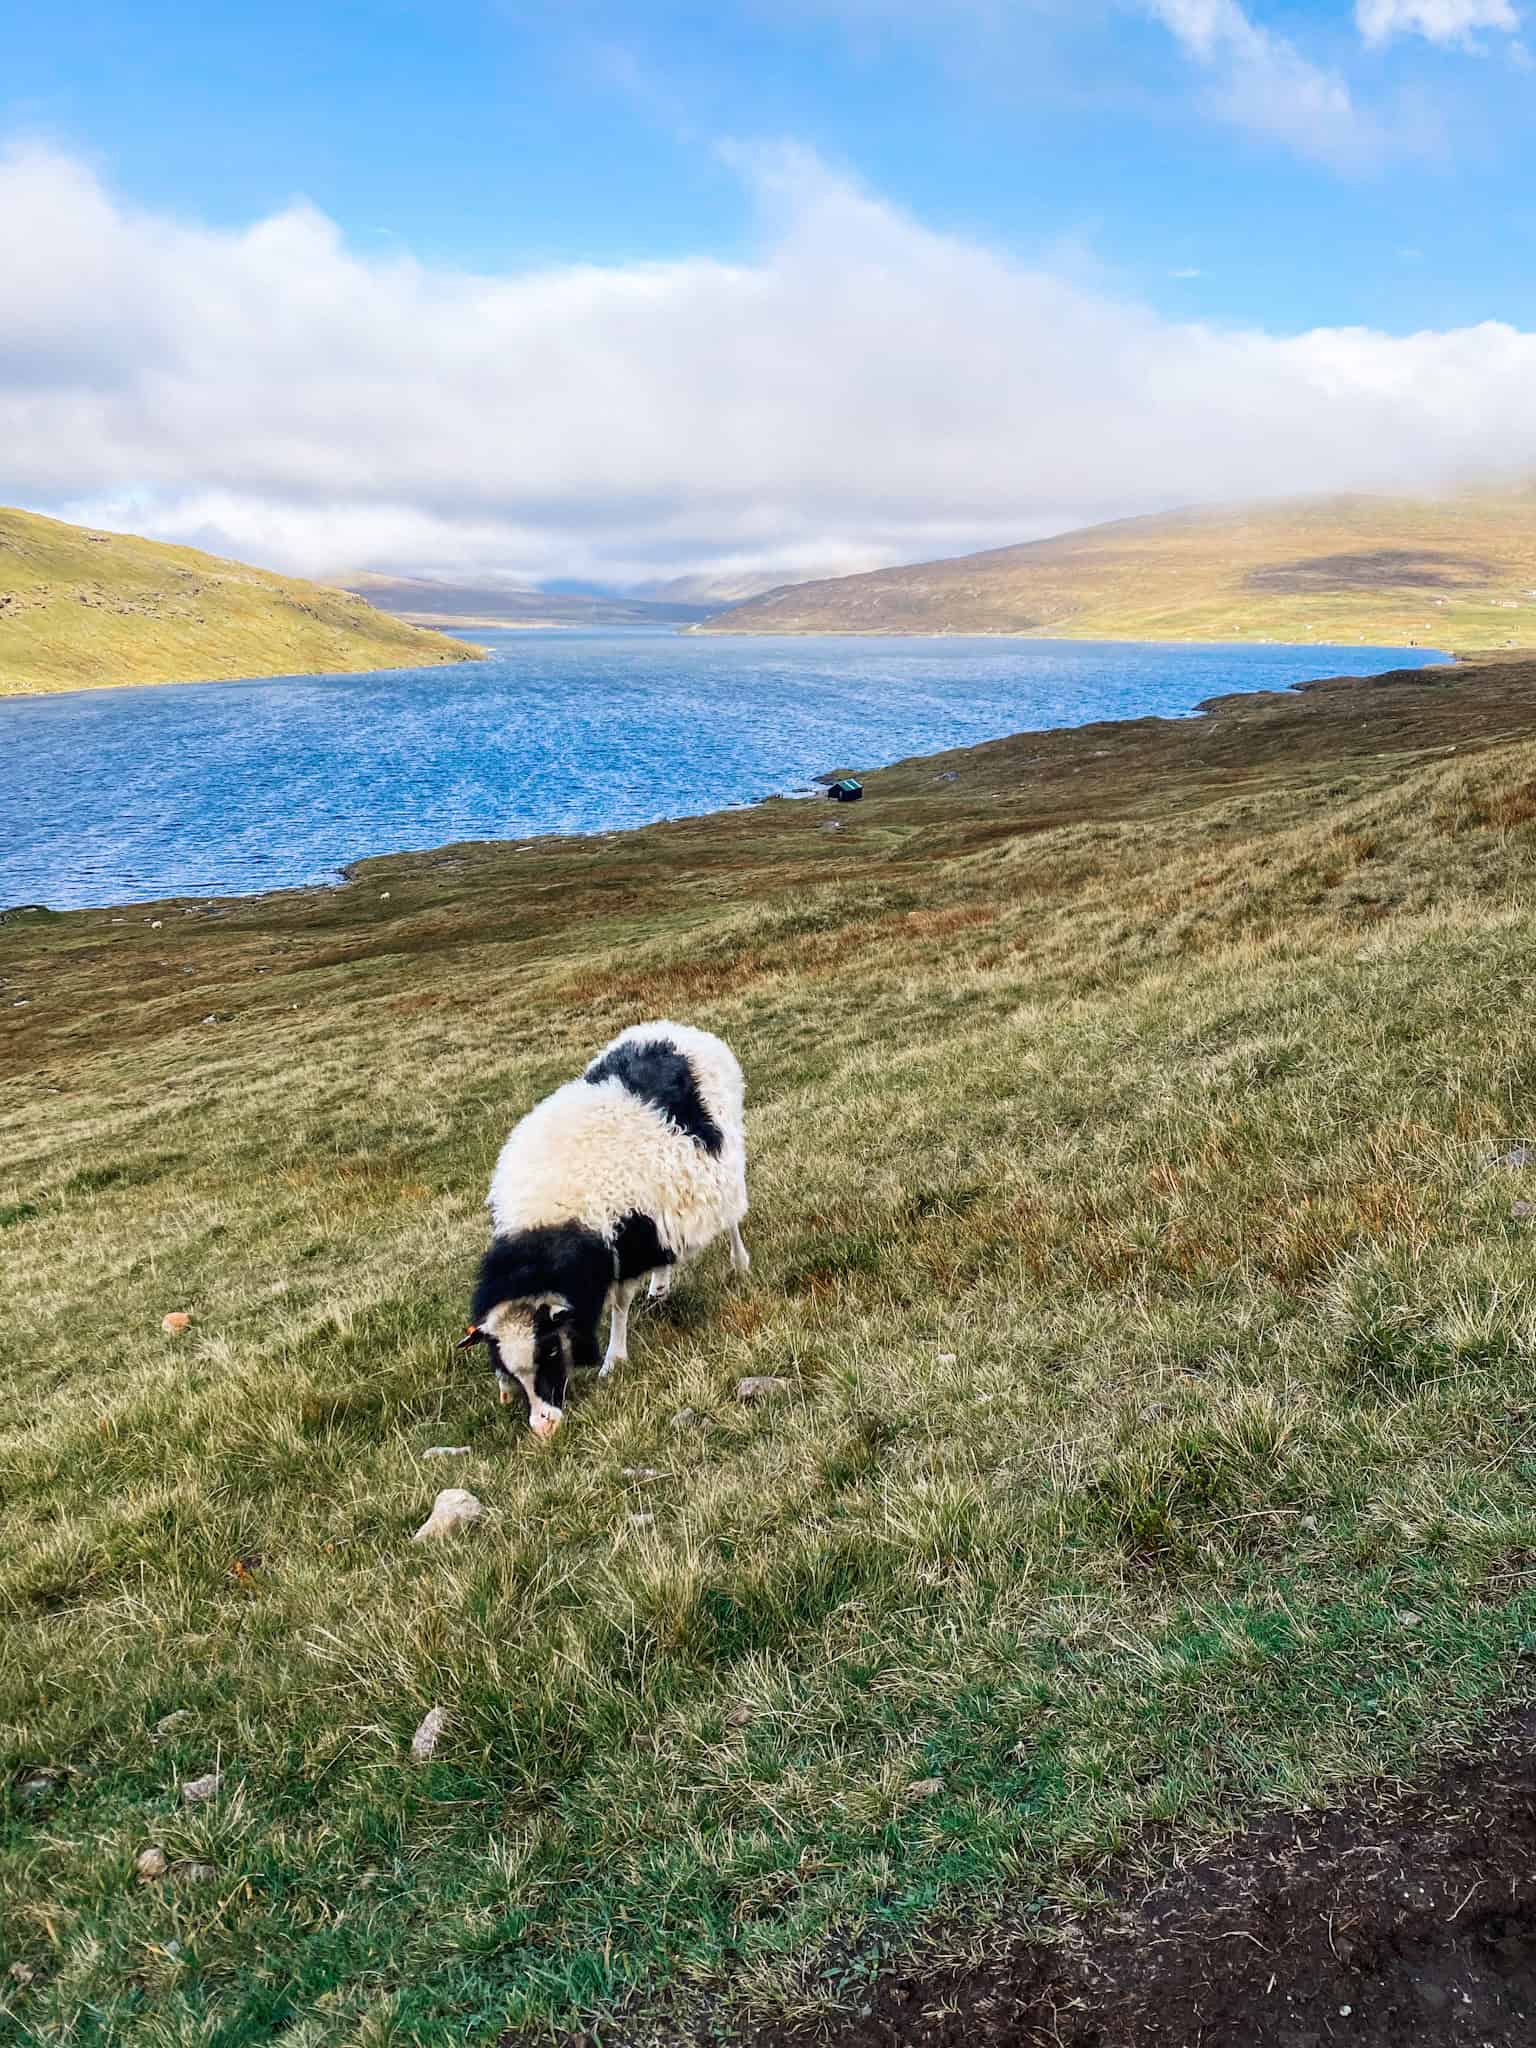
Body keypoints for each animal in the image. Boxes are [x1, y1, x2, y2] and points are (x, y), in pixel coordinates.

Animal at [460, 1015, 753, 1433]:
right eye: (505, 1366)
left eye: (551, 1349)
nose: (544, 1427)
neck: (549, 1215)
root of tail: (678, 1028)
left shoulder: (622, 1243)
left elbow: (619, 1303)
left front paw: (614, 1359)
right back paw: (660, 1285)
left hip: (726, 1157)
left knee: (730, 1219)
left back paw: (739, 1263)